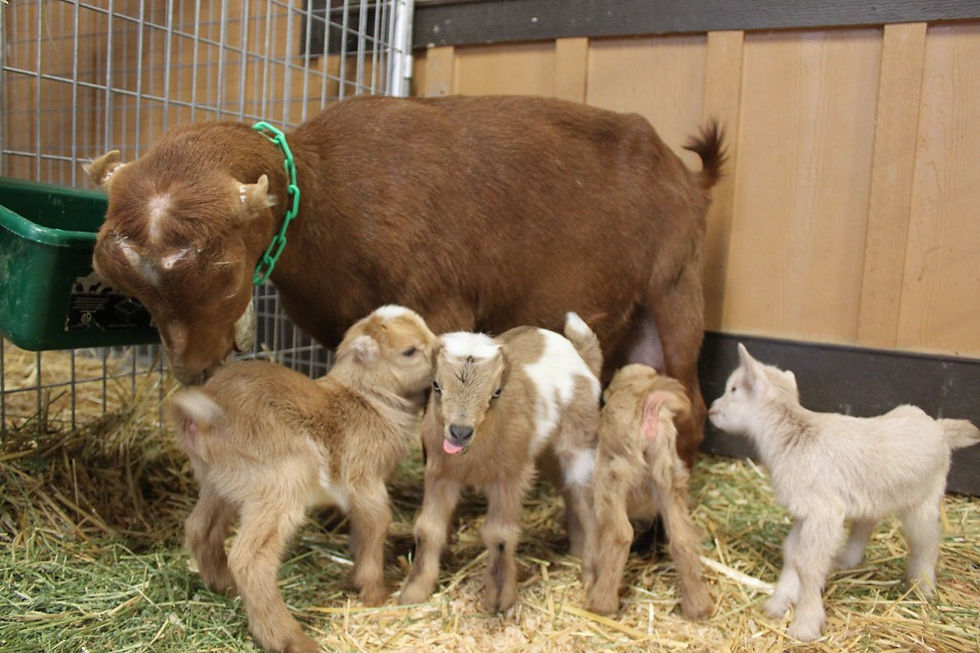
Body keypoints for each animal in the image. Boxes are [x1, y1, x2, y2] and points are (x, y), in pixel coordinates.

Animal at [86, 94, 724, 466]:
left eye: (225, 278)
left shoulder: (443, 308)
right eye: (130, 289)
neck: (329, 193)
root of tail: (688, 176)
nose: (193, 371)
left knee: (692, 404)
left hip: (676, 285)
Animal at [163, 305, 437, 653]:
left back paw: (223, 586)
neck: (366, 400)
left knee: (200, 528)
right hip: (281, 483)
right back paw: (291, 638)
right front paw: (374, 592)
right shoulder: (364, 478)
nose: (442, 349)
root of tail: (200, 418)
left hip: (218, 483)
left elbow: (362, 528)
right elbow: (377, 524)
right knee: (250, 559)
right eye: (410, 350)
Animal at [398, 313, 602, 612]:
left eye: (496, 393)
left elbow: (500, 535)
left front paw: (499, 599)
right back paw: (576, 550)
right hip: (547, 454)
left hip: (579, 443)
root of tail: (582, 357)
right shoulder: (439, 474)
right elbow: (427, 528)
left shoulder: (509, 476)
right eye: (436, 385)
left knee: (588, 504)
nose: (460, 431)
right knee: (570, 494)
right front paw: (414, 592)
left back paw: (591, 575)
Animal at [584, 364, 712, 618]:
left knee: (621, 534)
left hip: (613, 480)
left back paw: (600, 604)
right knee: (681, 536)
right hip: (669, 478)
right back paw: (699, 607)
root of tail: (648, 408)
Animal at [708, 343, 980, 641]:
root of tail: (940, 428)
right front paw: (778, 603)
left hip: (924, 498)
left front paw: (805, 624)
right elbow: (793, 554)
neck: (794, 436)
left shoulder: (824, 512)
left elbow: (807, 564)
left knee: (927, 541)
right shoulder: (805, 511)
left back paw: (923, 587)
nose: (711, 410)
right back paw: (848, 558)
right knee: (869, 520)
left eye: (734, 389)